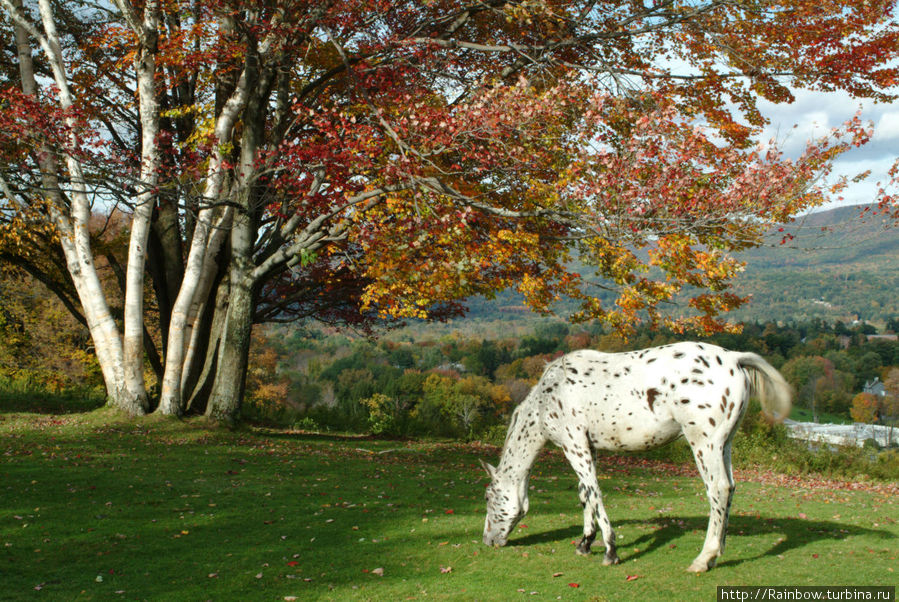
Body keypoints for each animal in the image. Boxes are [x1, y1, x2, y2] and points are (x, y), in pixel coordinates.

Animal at [482, 340, 792, 568]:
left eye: (488, 497)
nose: (488, 540)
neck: (548, 396)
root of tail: (735, 359)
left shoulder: (574, 446)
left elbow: (594, 492)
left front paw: (610, 550)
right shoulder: (588, 448)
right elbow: (585, 493)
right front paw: (585, 543)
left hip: (705, 444)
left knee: (719, 489)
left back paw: (704, 558)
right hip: (724, 444)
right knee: (730, 489)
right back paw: (717, 554)